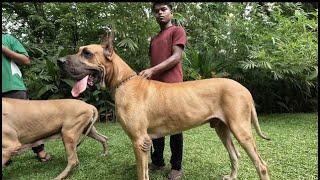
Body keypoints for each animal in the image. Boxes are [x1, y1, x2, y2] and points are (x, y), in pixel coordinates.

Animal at [58, 33, 272, 179]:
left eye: (87, 53)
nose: (59, 61)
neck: (123, 82)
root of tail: (244, 88)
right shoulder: (144, 142)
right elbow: (145, 170)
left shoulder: (138, 140)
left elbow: (141, 173)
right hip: (222, 128)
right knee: (235, 155)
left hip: (240, 129)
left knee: (261, 165)